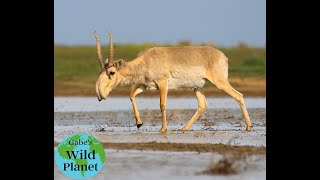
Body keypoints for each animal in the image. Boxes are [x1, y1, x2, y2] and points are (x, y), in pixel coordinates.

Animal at [93, 32, 252, 132]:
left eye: (111, 72)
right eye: (100, 71)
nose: (100, 95)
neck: (146, 60)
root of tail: (223, 56)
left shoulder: (163, 83)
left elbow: (162, 105)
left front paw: (163, 128)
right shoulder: (145, 85)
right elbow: (131, 95)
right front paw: (139, 123)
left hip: (220, 82)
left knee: (238, 96)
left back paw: (248, 127)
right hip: (197, 87)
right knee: (202, 104)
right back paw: (184, 128)